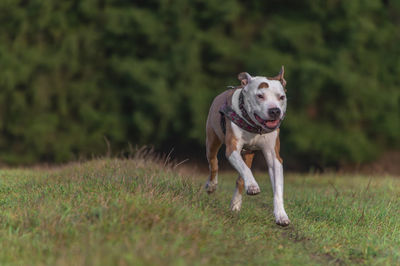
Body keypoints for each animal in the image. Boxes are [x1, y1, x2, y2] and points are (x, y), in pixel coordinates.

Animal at [205, 66, 290, 227]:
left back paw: (235, 204)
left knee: (240, 179)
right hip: (212, 141)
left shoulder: (274, 158)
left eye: (281, 97)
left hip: (249, 153)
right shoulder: (232, 149)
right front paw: (253, 186)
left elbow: (278, 189)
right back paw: (211, 186)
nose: (275, 110)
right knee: (214, 163)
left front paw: (281, 215)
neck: (255, 126)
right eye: (260, 96)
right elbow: (244, 169)